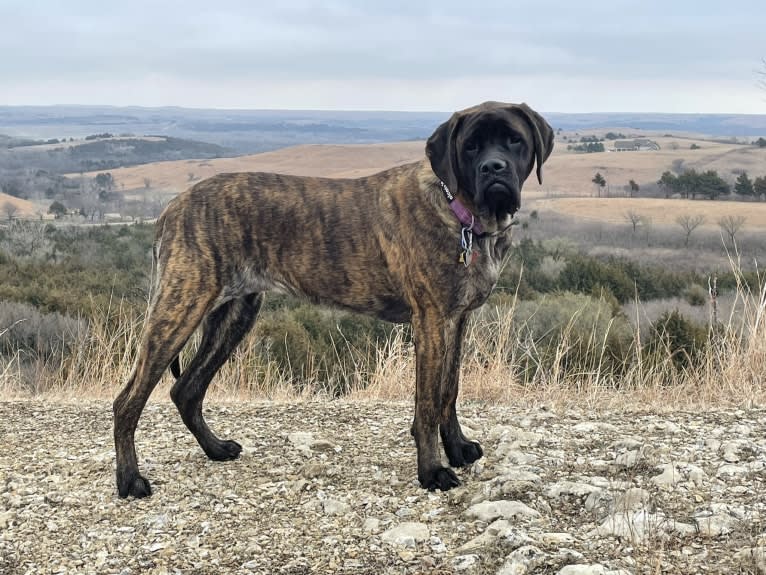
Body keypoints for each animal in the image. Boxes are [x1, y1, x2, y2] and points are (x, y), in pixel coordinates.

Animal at [114, 101, 556, 498]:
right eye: (470, 147)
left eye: (514, 140)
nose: (493, 168)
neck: (459, 211)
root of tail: (172, 207)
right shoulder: (431, 321)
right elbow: (428, 403)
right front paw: (432, 470)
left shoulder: (456, 321)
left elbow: (449, 391)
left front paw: (458, 449)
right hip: (180, 308)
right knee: (128, 400)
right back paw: (129, 481)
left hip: (234, 315)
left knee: (186, 390)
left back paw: (216, 448)